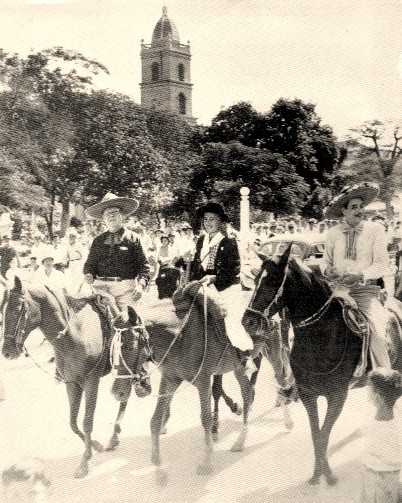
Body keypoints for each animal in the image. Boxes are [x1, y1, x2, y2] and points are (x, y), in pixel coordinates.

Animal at [0, 278, 138, 478]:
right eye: (2, 310)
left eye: (19, 308)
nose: (7, 352)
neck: (75, 335)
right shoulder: (72, 383)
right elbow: (73, 423)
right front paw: (95, 445)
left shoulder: (91, 381)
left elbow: (87, 421)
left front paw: (84, 462)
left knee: (125, 397)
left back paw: (115, 436)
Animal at [242, 246, 402, 486]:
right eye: (255, 279)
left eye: (273, 279)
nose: (248, 321)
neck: (321, 336)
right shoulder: (308, 395)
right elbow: (316, 434)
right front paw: (317, 473)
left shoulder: (337, 396)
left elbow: (324, 433)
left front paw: (328, 474)